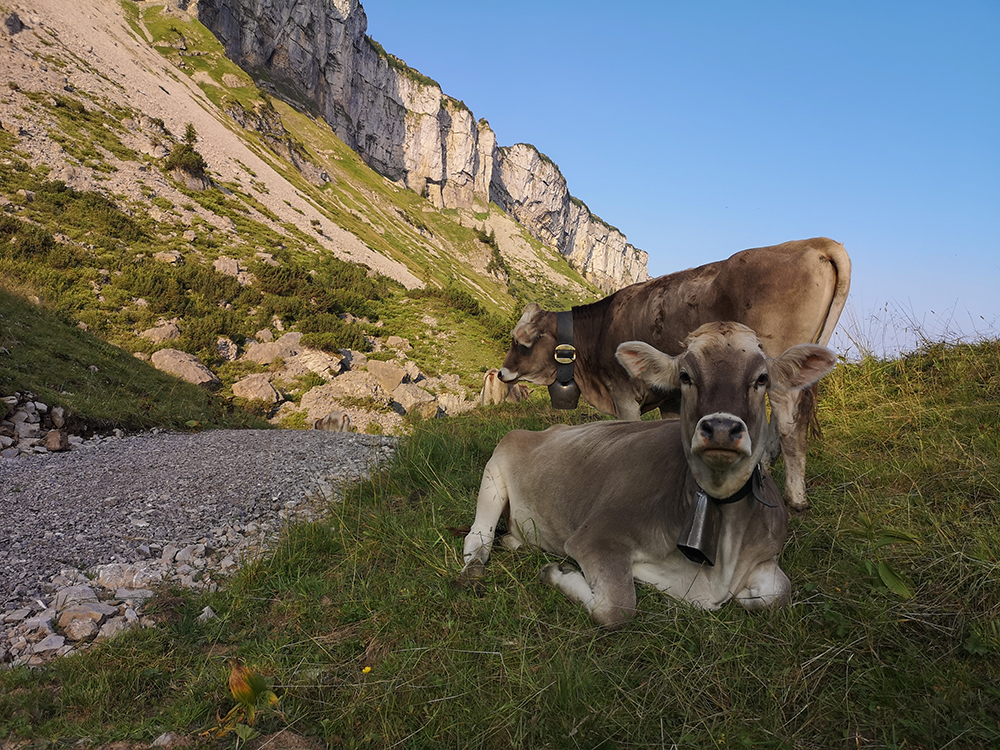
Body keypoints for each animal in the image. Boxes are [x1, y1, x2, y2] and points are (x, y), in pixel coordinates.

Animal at [464, 324, 840, 628]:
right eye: (685, 376)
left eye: (762, 379)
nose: (721, 428)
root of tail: (546, 429)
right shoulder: (596, 537)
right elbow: (616, 608)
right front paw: (558, 571)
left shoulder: (765, 555)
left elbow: (778, 595)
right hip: (496, 469)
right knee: (478, 535)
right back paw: (475, 566)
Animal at [500, 238, 852, 516]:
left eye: (522, 343)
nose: (503, 373)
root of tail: (813, 242)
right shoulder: (672, 397)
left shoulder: (623, 392)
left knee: (793, 430)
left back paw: (796, 497)